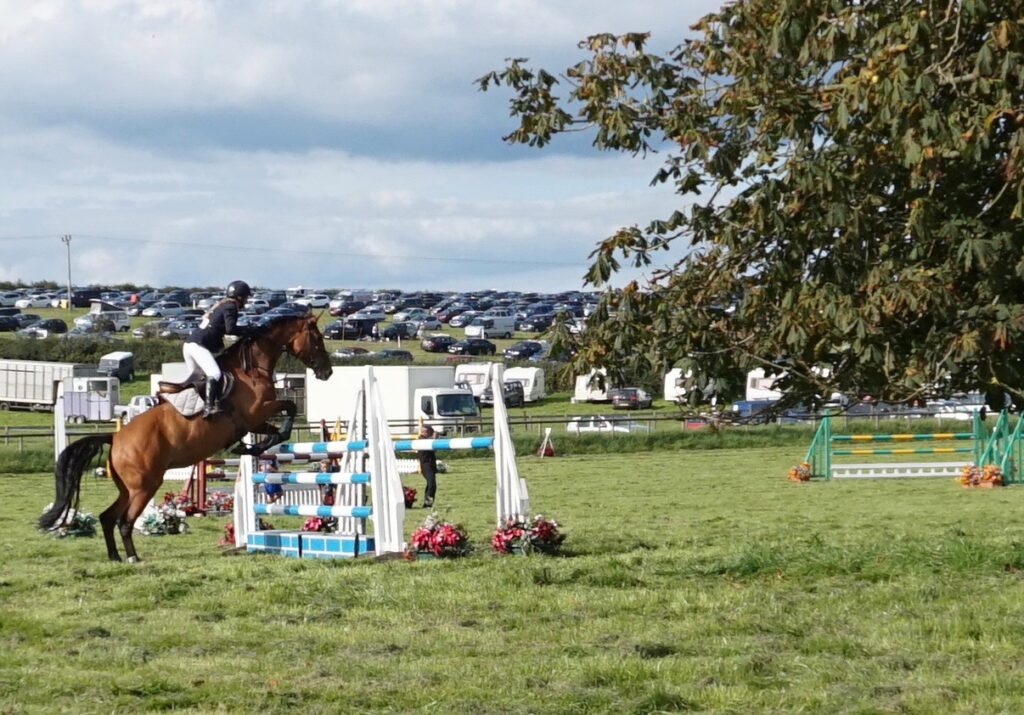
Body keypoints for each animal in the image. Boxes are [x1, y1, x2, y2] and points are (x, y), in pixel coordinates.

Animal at [35, 315, 331, 561]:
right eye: (317, 338)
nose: (327, 372)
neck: (251, 369)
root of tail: (116, 437)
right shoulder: (257, 413)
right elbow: (288, 410)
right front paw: (258, 445)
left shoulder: (256, 420)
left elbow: (277, 425)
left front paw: (251, 447)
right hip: (144, 486)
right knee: (124, 521)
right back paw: (132, 557)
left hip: (128, 488)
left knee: (108, 517)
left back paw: (115, 557)